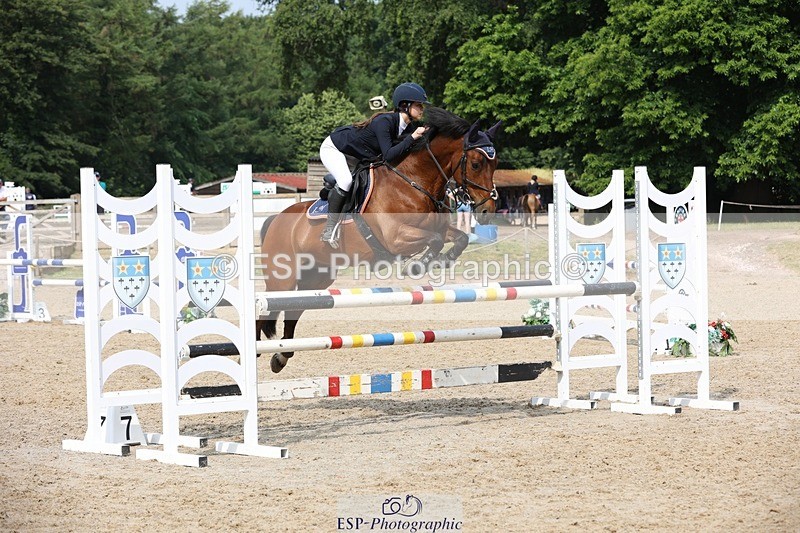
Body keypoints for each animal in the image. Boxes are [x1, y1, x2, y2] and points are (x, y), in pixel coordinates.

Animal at [257, 107, 501, 373]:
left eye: (495, 164)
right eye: (476, 164)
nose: (487, 211)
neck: (414, 181)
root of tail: (276, 219)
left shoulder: (437, 227)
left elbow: (460, 238)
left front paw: (443, 260)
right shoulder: (395, 237)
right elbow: (434, 240)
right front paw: (417, 265)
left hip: (316, 278)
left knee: (295, 308)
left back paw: (280, 357)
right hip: (282, 280)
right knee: (264, 312)